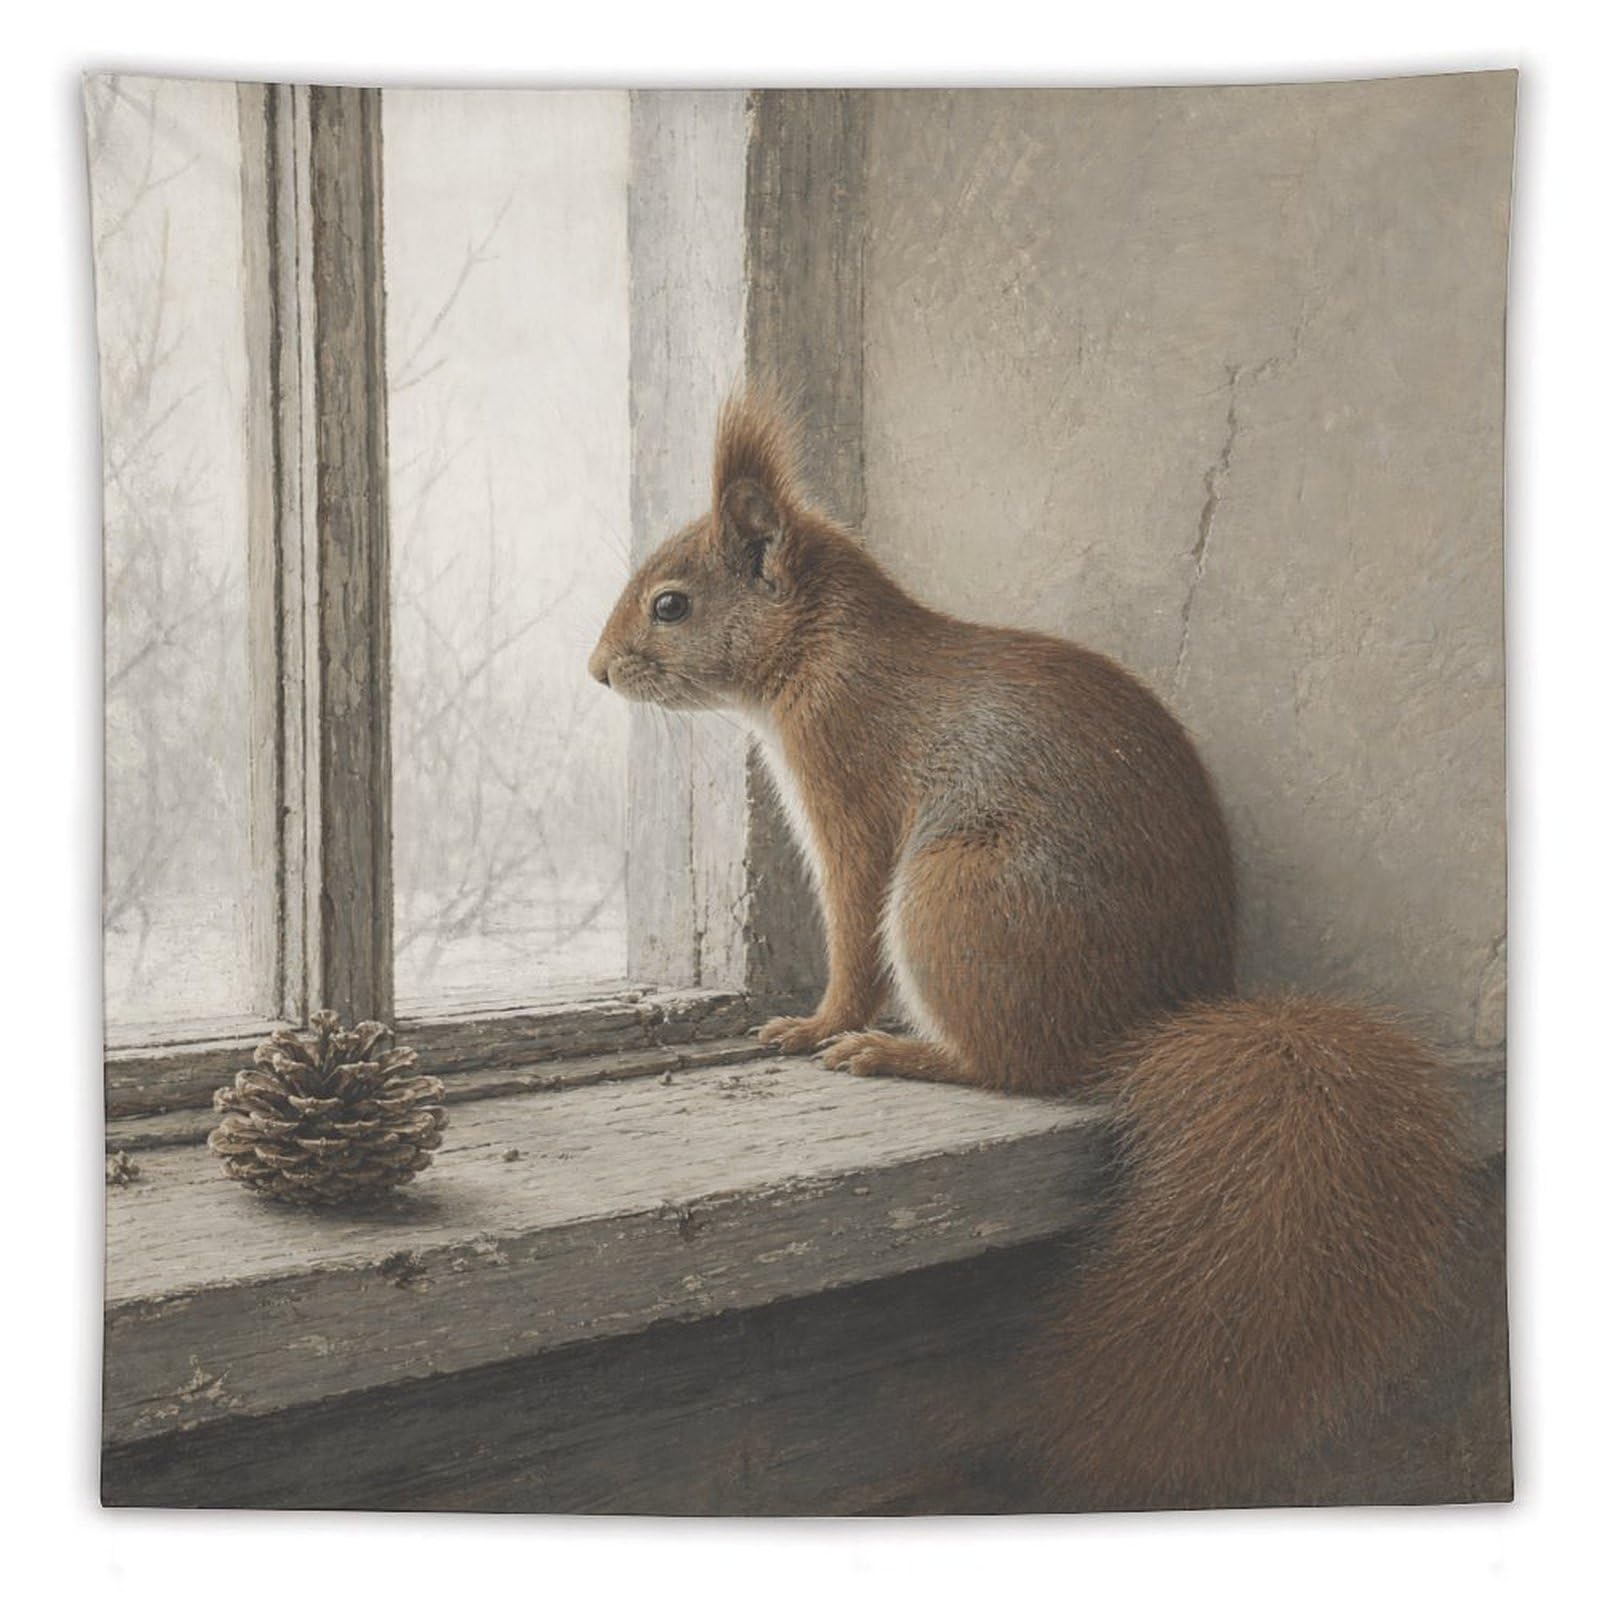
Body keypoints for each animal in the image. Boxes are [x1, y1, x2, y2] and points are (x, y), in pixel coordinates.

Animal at [588, 389, 1468, 1509]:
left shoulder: (849, 791)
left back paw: (901, 1051)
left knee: (1015, 1068)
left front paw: (817, 1022)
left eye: (671, 606)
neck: (825, 644)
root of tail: (1150, 1021)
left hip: (951, 902)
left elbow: (850, 931)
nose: (596, 669)